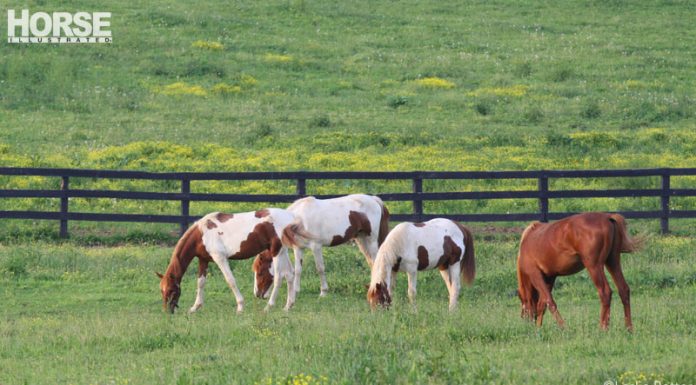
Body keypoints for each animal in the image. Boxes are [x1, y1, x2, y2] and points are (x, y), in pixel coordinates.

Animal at [159, 208, 312, 314]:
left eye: (171, 290)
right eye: (162, 290)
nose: (167, 311)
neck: (202, 233)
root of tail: (291, 217)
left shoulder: (220, 258)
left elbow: (230, 280)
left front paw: (240, 307)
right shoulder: (203, 260)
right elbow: (200, 283)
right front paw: (195, 307)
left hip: (276, 251)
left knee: (279, 277)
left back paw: (269, 307)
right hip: (282, 251)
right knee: (290, 274)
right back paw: (288, 306)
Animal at [512, 212, 640, 328]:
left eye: (522, 302)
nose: (525, 321)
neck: (528, 239)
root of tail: (608, 217)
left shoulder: (535, 275)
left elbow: (550, 302)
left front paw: (563, 328)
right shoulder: (550, 277)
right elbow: (542, 304)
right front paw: (539, 329)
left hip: (594, 267)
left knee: (605, 293)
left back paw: (603, 328)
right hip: (613, 262)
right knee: (623, 290)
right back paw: (629, 328)